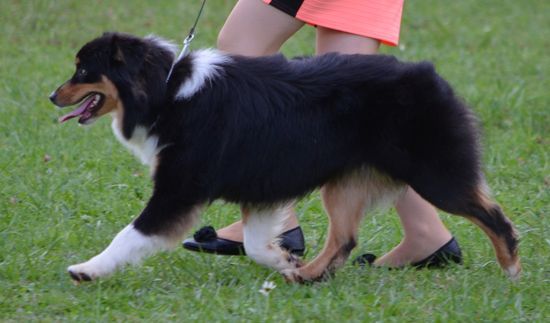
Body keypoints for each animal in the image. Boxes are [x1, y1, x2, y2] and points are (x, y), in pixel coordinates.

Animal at [48, 32, 520, 284]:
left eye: (83, 70)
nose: (52, 95)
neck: (167, 90)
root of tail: (432, 75)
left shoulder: (179, 189)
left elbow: (130, 234)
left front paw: (86, 269)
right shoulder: (261, 187)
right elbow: (258, 244)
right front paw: (283, 260)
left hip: (435, 173)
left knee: (495, 218)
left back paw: (512, 272)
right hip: (346, 183)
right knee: (343, 239)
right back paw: (305, 276)